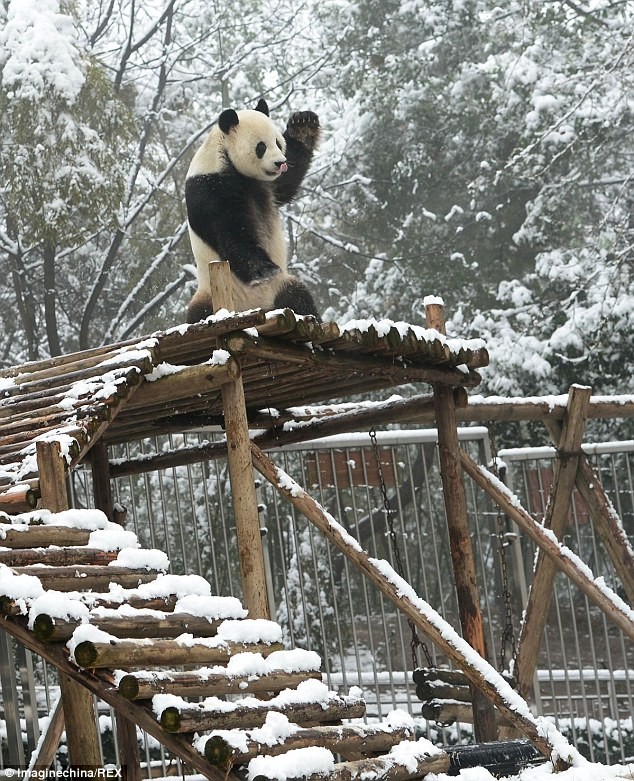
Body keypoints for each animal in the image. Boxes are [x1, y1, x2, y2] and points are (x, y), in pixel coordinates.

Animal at [184, 98, 320, 322]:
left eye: (278, 142)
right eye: (261, 147)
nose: (280, 163)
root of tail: (259, 307)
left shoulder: (268, 184)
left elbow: (288, 181)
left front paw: (303, 124)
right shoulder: (208, 187)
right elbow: (231, 231)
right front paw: (265, 270)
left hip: (282, 288)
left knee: (300, 298)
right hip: (208, 296)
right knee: (198, 314)